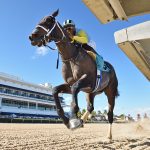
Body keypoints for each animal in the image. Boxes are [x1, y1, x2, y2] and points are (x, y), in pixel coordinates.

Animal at [29, 9, 118, 140]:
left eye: (49, 20)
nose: (32, 37)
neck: (71, 56)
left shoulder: (87, 80)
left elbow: (75, 89)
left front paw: (74, 118)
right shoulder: (70, 84)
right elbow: (55, 90)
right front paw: (67, 121)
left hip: (110, 92)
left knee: (110, 113)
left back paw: (109, 136)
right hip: (91, 92)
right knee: (90, 107)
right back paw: (82, 121)